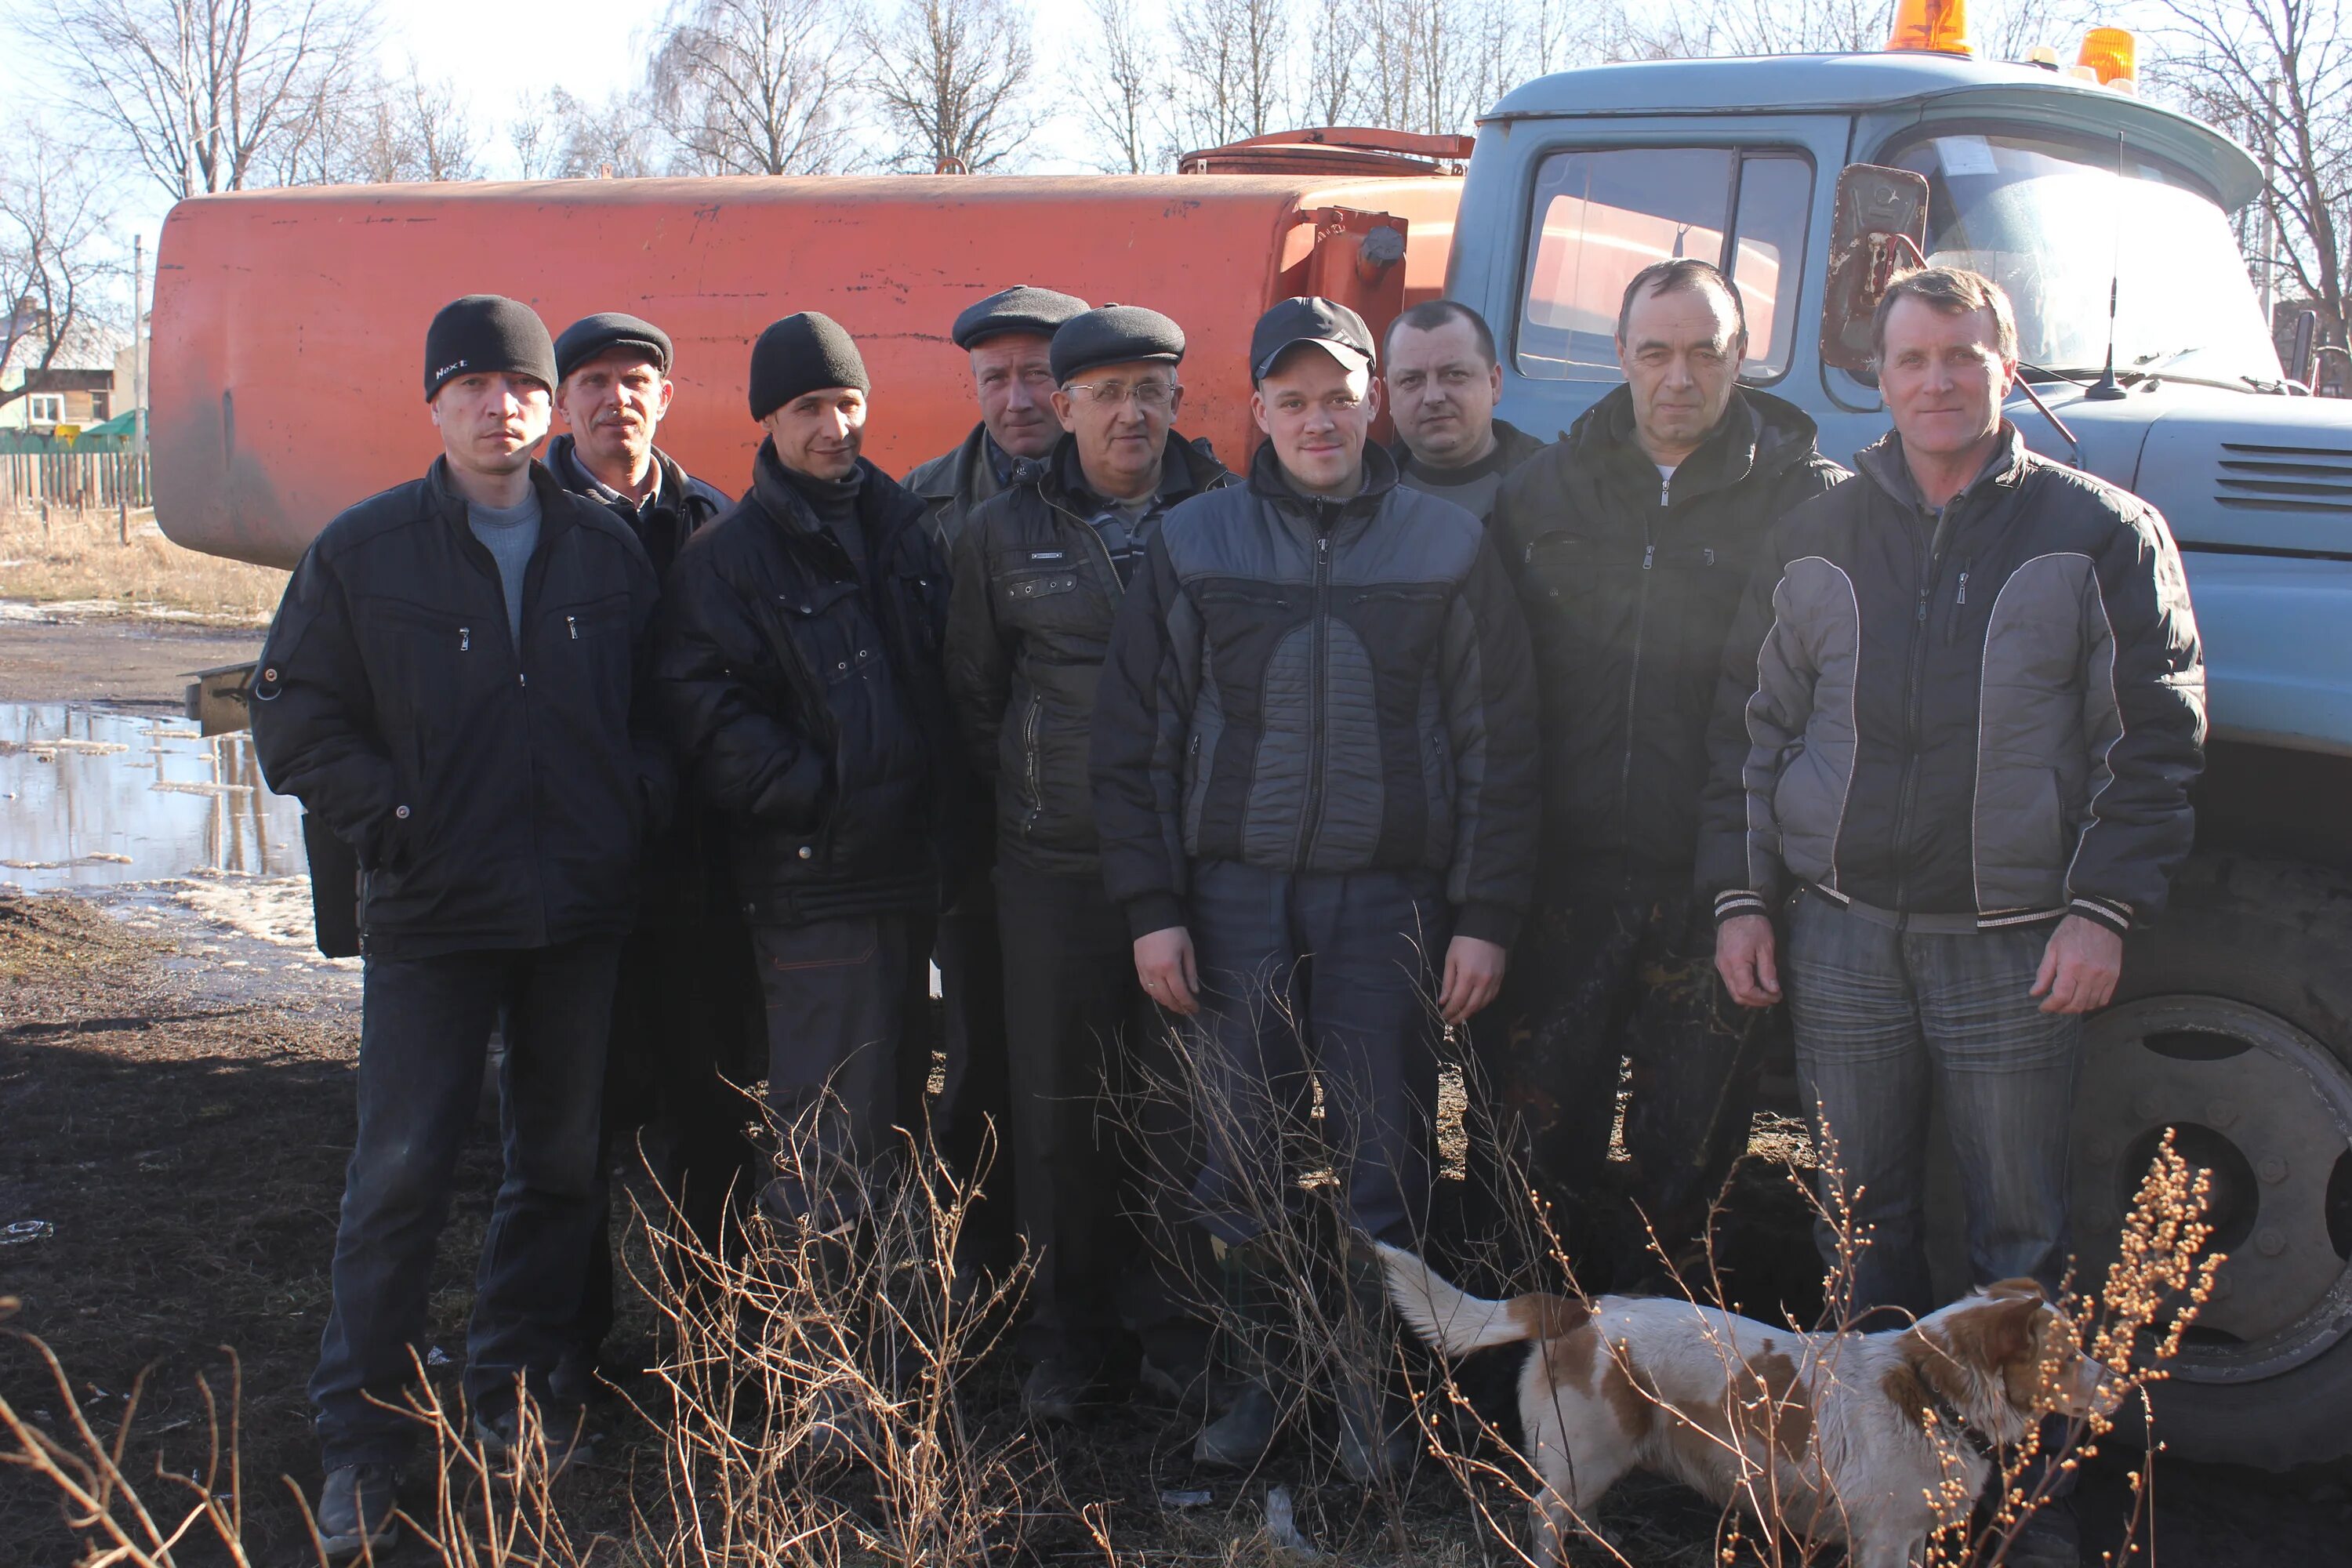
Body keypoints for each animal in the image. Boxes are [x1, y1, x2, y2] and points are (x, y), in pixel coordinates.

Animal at [1374, 1241, 2117, 1561]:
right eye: (2068, 1357)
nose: (2123, 1383)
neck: (1928, 1389)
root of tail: (1580, 1309)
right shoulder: (1880, 1538)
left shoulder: (1905, 1536)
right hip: (1587, 1456)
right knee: (1542, 1516)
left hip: (1590, 1462)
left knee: (1566, 1510)